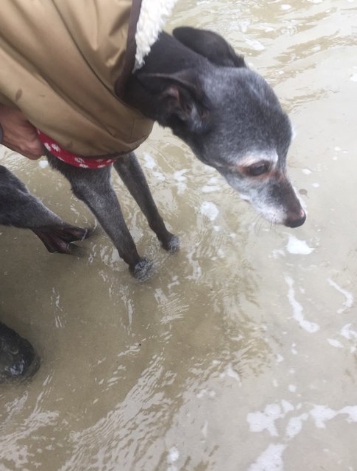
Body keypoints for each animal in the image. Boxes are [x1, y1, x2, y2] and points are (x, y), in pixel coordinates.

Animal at [1, 28, 304, 280]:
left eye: (288, 149)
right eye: (257, 168)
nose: (300, 218)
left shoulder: (122, 153)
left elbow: (151, 209)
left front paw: (167, 241)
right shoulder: (90, 183)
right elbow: (123, 239)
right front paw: (138, 269)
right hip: (17, 198)